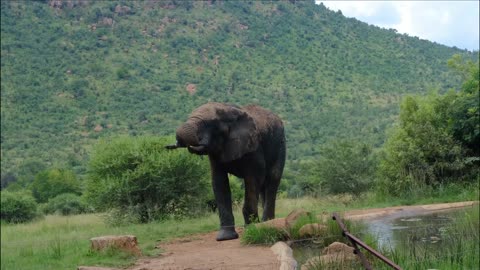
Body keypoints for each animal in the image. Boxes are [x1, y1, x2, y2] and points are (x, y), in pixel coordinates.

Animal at [166, 102, 284, 240]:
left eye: (212, 123)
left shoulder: (254, 147)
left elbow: (253, 179)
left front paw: (251, 230)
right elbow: (219, 182)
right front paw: (225, 237)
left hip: (280, 145)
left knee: (272, 179)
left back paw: (267, 223)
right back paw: (268, 223)